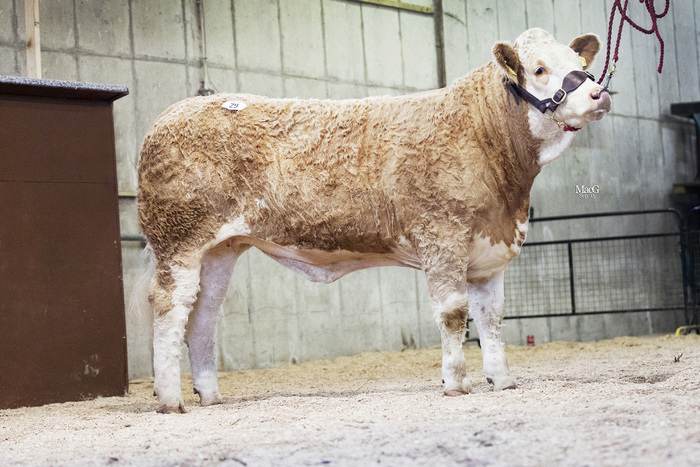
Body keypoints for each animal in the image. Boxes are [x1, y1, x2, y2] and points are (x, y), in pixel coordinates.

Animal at [137, 28, 608, 414]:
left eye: (581, 64)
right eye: (540, 68)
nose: (598, 93)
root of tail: (171, 115)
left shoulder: (489, 252)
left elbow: (491, 318)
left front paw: (503, 380)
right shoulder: (442, 237)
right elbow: (454, 314)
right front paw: (456, 382)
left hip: (220, 249)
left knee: (203, 314)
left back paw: (210, 395)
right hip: (178, 240)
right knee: (169, 308)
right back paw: (171, 400)